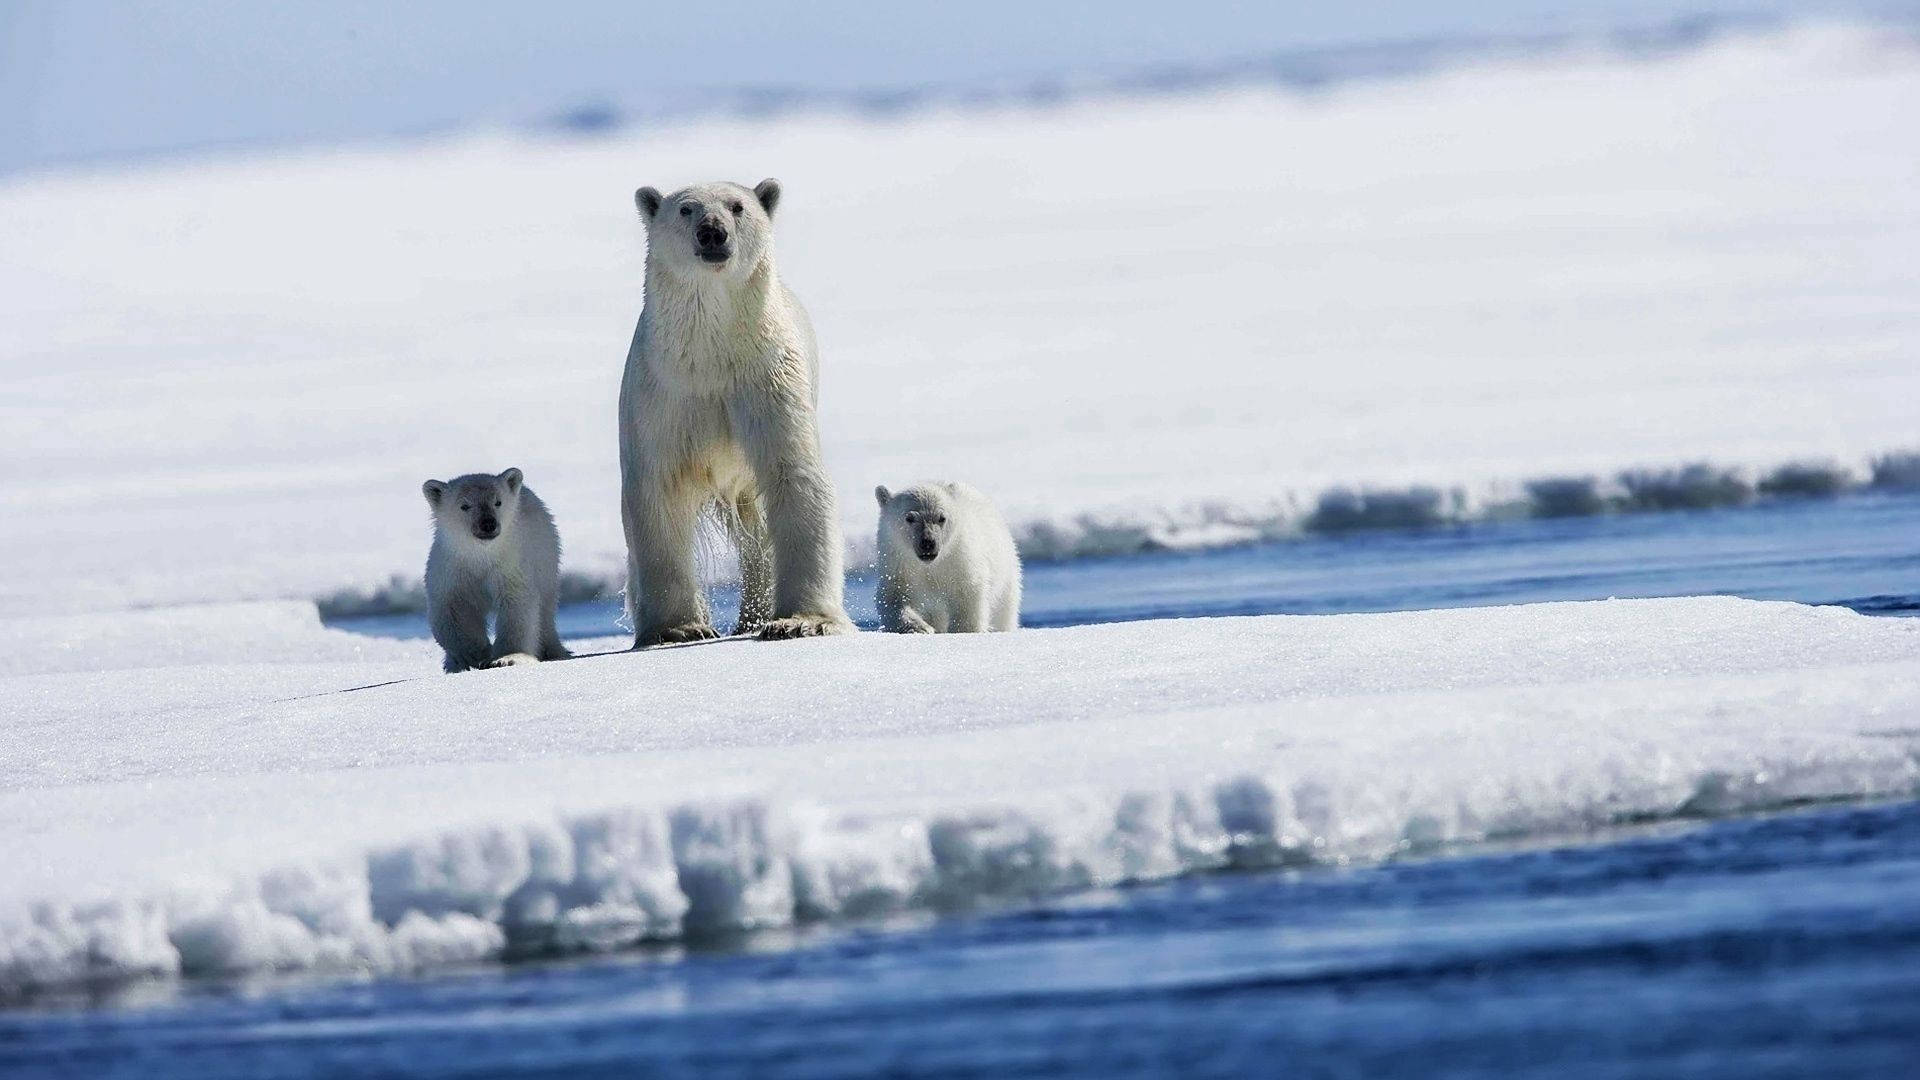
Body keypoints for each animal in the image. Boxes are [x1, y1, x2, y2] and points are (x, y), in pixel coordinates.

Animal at [421, 468, 570, 672]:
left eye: (498, 502)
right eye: (465, 506)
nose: (488, 523)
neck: (480, 556)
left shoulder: (510, 566)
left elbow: (516, 606)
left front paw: (507, 658)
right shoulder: (451, 569)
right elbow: (453, 609)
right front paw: (475, 654)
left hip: (546, 560)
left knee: (546, 611)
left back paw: (553, 651)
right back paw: (452, 664)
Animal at [618, 178, 854, 647]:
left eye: (737, 206)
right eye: (686, 209)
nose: (712, 232)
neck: (712, 355)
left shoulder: (767, 379)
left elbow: (795, 475)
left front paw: (801, 621)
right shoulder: (662, 394)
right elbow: (657, 489)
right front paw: (679, 628)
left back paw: (753, 617)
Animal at [874, 481, 1022, 633]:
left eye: (941, 518)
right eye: (909, 518)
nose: (928, 542)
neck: (930, 565)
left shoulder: (959, 560)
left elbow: (967, 596)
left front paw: (961, 630)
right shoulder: (898, 564)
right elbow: (893, 598)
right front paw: (921, 628)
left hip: (1005, 578)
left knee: (1004, 614)